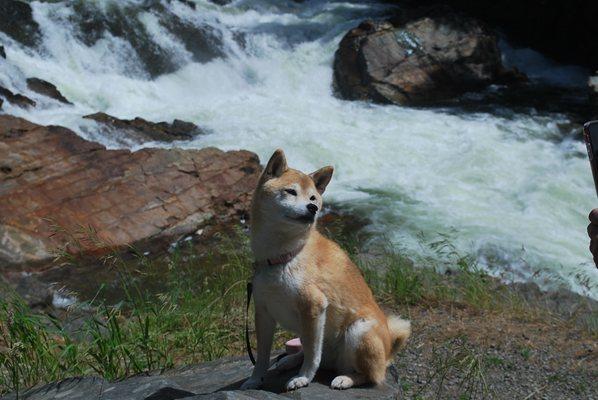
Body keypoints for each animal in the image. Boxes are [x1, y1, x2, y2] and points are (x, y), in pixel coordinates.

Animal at [241, 149, 410, 390]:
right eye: (291, 191)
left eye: (313, 198)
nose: (312, 208)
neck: (283, 256)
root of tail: (388, 353)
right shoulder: (263, 312)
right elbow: (262, 357)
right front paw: (255, 380)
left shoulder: (314, 306)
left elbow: (313, 354)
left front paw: (303, 378)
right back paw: (290, 360)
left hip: (357, 331)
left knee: (371, 376)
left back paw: (345, 378)